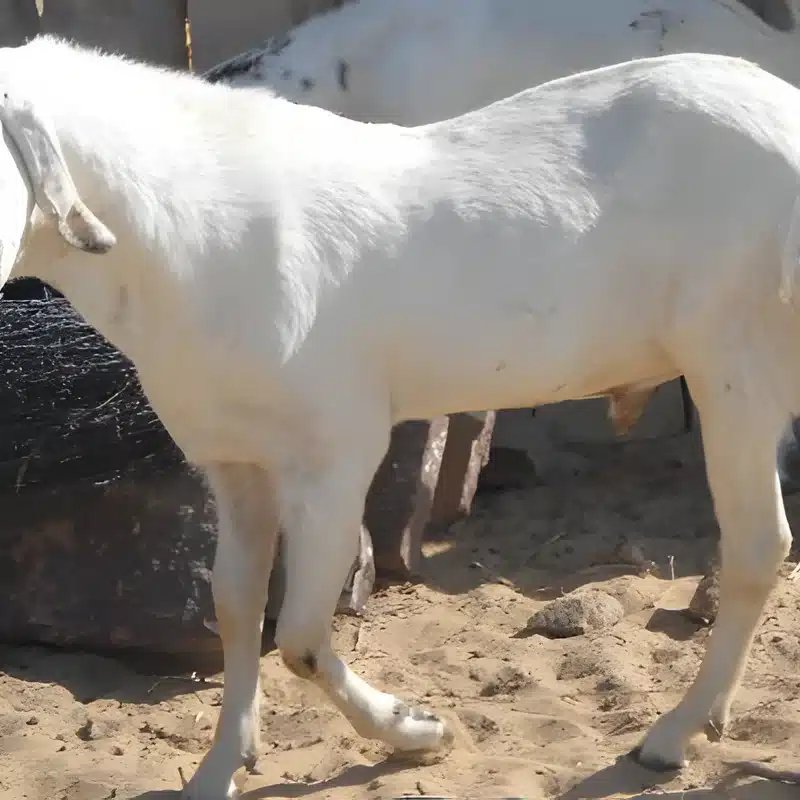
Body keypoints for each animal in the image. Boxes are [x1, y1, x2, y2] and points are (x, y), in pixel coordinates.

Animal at [0, 34, 799, 799]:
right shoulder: (233, 463)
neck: (196, 236)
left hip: (735, 369)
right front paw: (219, 769)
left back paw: (672, 735)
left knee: (759, 545)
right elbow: (235, 606)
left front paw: (418, 730)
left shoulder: (334, 456)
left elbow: (300, 636)